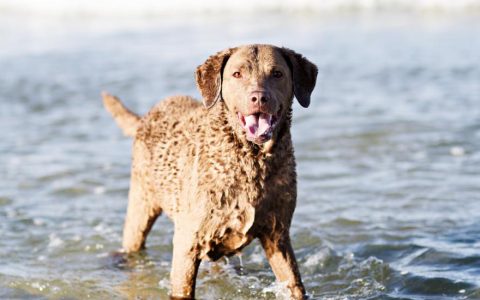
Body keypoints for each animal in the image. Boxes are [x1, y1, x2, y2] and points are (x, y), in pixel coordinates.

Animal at [103, 43, 316, 298]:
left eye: (277, 73)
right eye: (237, 74)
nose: (259, 97)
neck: (251, 162)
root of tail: (145, 117)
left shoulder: (278, 235)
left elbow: (295, 284)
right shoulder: (187, 243)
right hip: (141, 203)